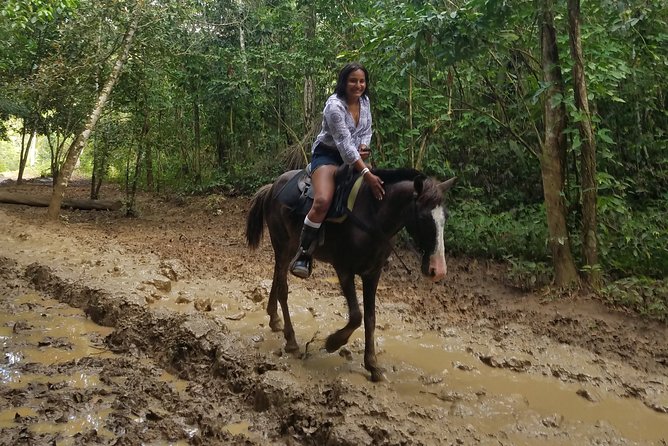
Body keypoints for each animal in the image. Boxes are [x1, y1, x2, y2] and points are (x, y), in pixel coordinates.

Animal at [248, 167, 456, 380]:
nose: (438, 270)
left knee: (276, 277)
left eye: (445, 217)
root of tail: (273, 186)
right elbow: (356, 315)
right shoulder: (344, 270)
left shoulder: (373, 273)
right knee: (283, 288)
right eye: (423, 218)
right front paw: (333, 342)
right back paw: (291, 341)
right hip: (282, 244)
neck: (373, 219)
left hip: (285, 248)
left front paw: (372, 365)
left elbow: (371, 318)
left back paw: (274, 319)